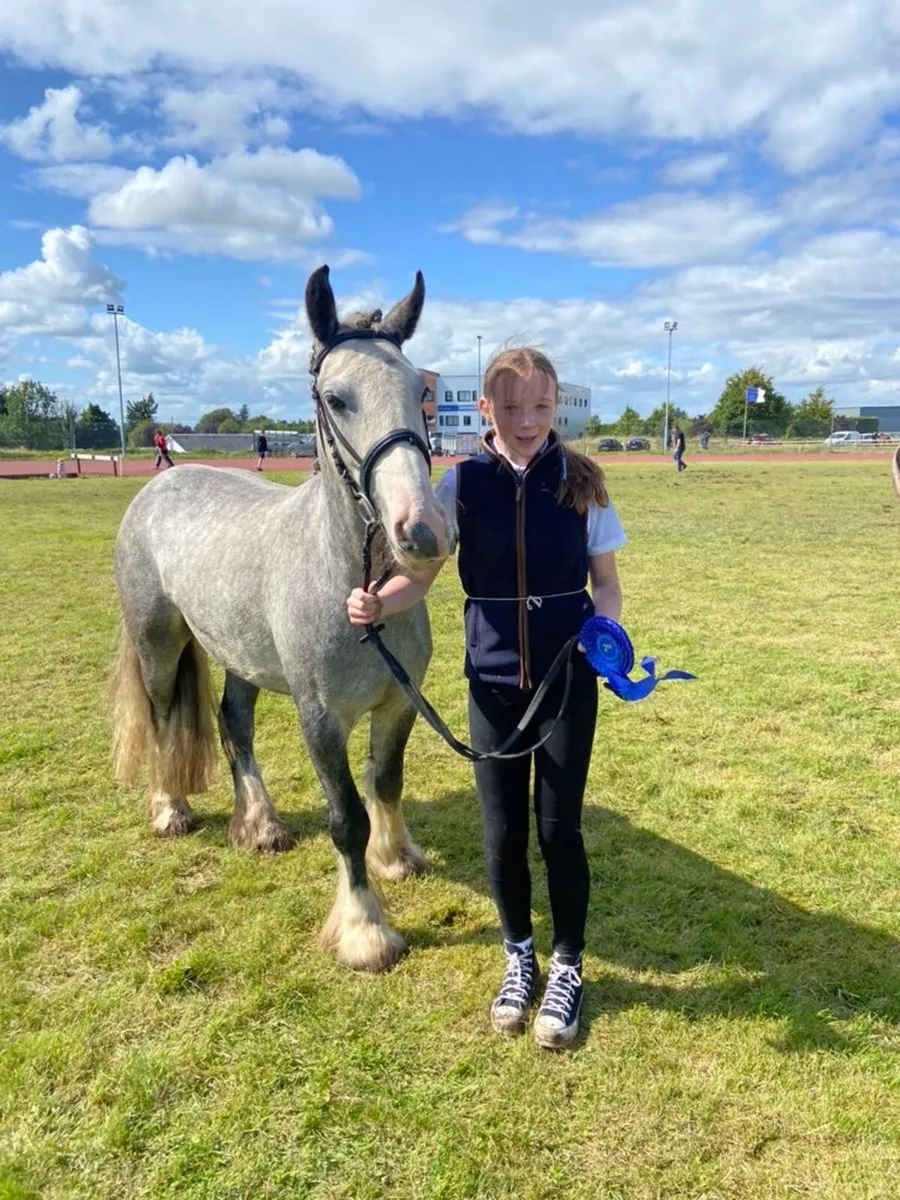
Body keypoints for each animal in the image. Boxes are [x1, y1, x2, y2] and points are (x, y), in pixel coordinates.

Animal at [111, 265, 454, 972]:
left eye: (421, 394)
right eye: (337, 398)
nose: (423, 532)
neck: (357, 588)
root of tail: (161, 483)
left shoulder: (398, 703)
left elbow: (386, 783)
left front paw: (397, 858)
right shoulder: (319, 719)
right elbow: (347, 817)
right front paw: (365, 931)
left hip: (239, 655)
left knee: (233, 723)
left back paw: (261, 824)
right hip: (157, 644)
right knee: (161, 720)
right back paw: (169, 810)